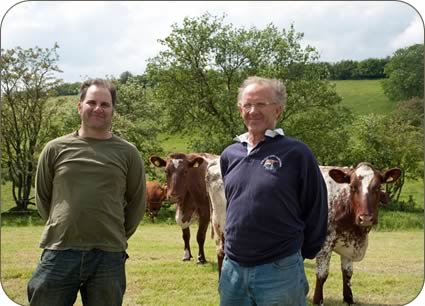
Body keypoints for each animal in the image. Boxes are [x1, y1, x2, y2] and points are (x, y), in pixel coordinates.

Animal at [312, 164, 400, 304]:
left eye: (377, 187)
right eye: (352, 187)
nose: (365, 218)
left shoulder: (348, 242)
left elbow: (347, 273)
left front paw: (348, 299)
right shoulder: (324, 244)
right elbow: (322, 274)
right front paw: (317, 300)